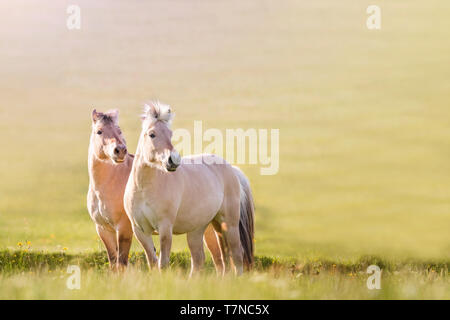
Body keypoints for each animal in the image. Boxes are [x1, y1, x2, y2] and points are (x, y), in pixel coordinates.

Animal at [86, 109, 227, 272]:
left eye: (119, 130)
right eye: (99, 131)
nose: (120, 150)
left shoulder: (124, 228)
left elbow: (122, 262)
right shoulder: (103, 230)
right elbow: (113, 262)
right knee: (217, 259)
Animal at [123, 102, 255, 276]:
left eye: (170, 134)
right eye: (152, 134)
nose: (173, 160)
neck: (144, 188)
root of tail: (232, 169)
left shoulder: (165, 228)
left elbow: (163, 263)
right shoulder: (140, 231)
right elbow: (152, 262)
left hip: (229, 224)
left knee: (236, 254)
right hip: (203, 228)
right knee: (208, 258)